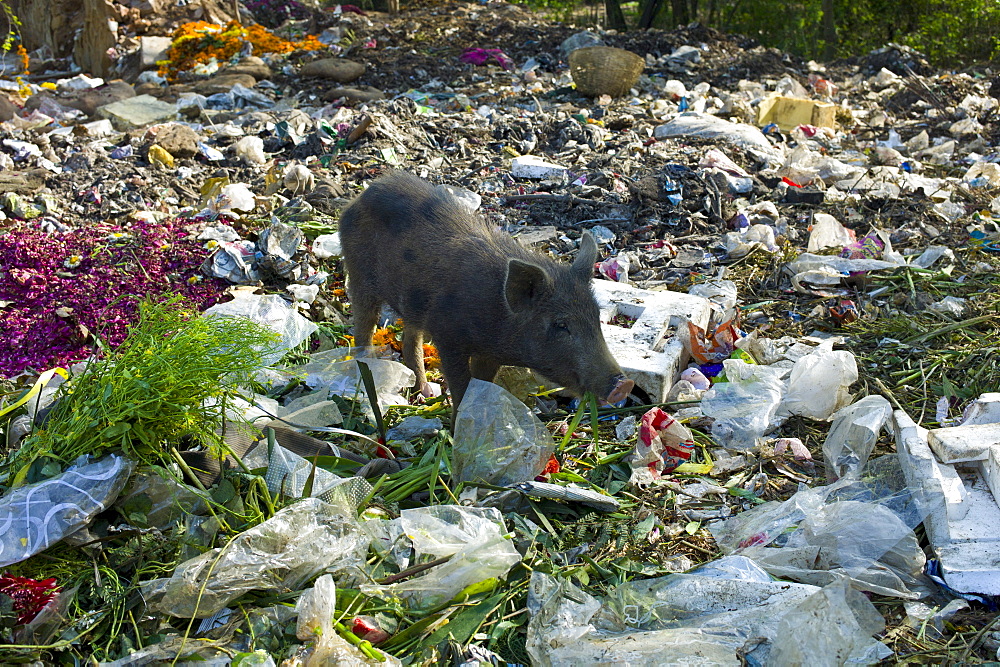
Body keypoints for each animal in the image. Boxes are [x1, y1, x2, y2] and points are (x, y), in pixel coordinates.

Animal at [336, 170, 632, 414]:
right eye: (561, 325)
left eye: (596, 317)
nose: (624, 384)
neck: (498, 316)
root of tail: (361, 195)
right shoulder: (448, 336)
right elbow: (460, 384)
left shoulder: (489, 354)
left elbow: (480, 383)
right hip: (359, 275)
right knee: (363, 328)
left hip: (411, 304)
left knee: (411, 344)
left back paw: (425, 394)